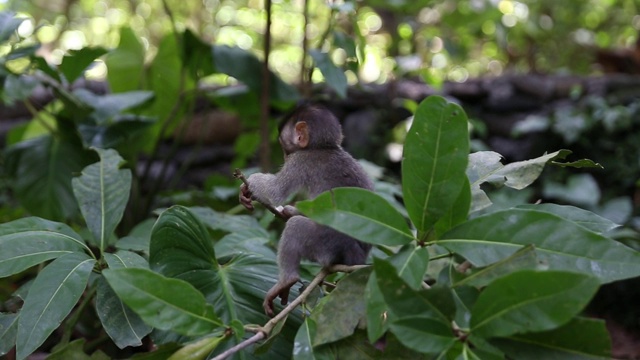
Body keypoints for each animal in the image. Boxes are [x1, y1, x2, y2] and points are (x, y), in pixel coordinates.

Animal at [239, 103, 370, 316]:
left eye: (284, 146)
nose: (285, 156)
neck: (323, 147)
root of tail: (356, 256)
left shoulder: (300, 161)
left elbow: (275, 192)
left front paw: (250, 183)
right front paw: (289, 210)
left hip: (325, 244)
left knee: (296, 227)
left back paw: (287, 279)